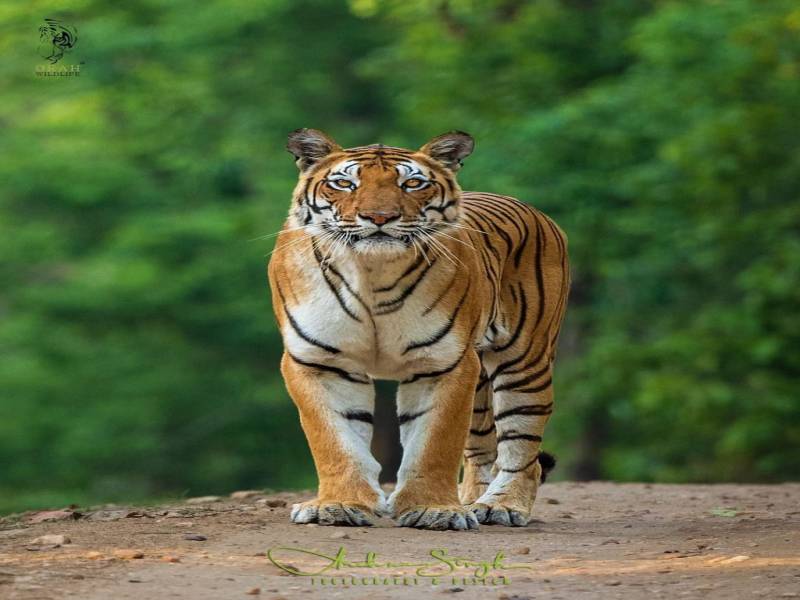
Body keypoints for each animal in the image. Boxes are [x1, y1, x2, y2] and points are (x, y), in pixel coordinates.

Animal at [267, 129, 570, 530]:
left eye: (412, 183)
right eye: (344, 183)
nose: (379, 217)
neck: (372, 272)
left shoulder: (444, 363)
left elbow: (434, 442)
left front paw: (434, 510)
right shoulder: (320, 361)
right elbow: (334, 439)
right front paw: (339, 505)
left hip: (525, 363)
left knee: (522, 447)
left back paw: (501, 506)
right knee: (482, 447)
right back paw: (473, 501)